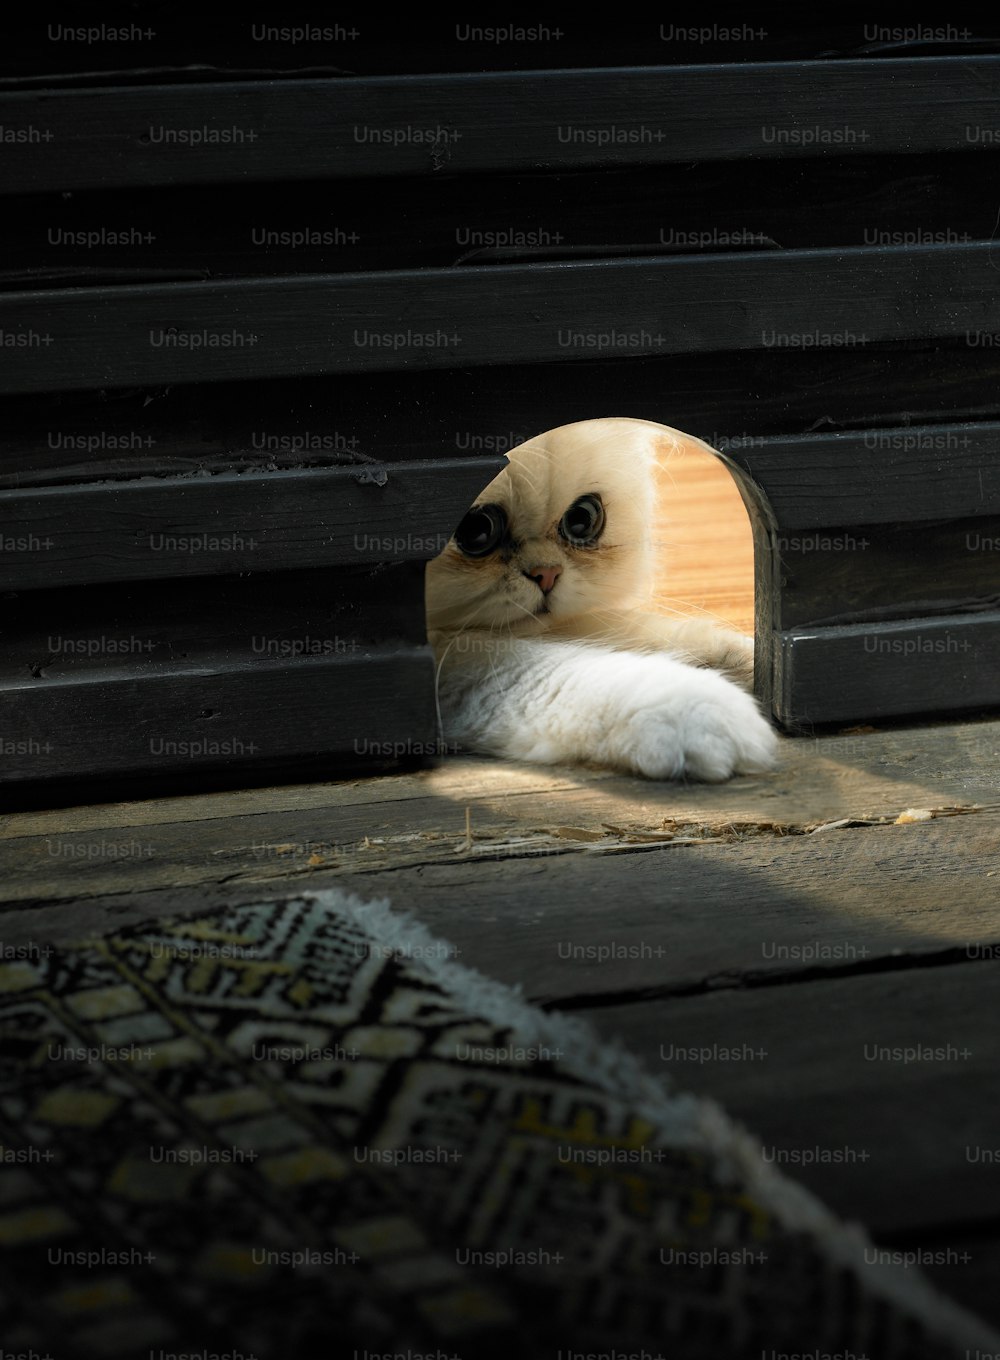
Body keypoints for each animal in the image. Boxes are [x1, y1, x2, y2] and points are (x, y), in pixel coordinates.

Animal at [427, 413, 778, 783]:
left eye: (581, 520)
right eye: (477, 530)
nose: (547, 574)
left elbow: (678, 640)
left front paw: (756, 669)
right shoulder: (456, 670)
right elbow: (562, 670)